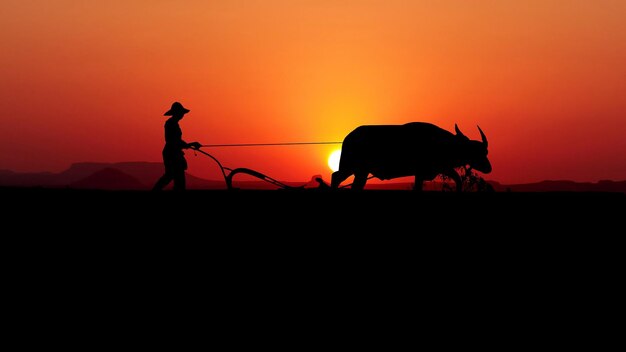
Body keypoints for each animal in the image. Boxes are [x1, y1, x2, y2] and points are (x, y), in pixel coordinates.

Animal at [330, 122, 490, 191]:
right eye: (476, 152)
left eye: (485, 152)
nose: (489, 167)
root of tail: (348, 138)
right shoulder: (420, 173)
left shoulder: (443, 168)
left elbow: (457, 179)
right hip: (351, 167)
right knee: (336, 176)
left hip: (361, 171)